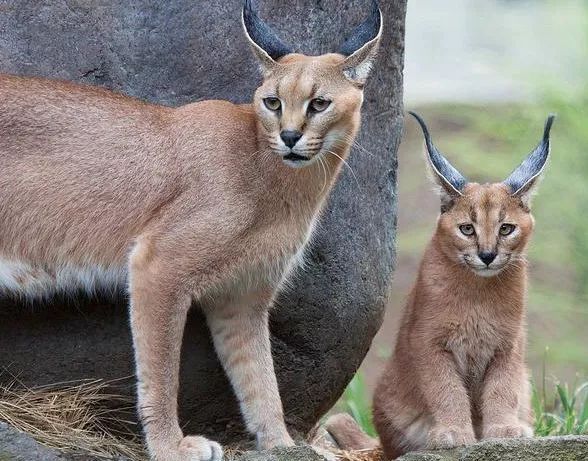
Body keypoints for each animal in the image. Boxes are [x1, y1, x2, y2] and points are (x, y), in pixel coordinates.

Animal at [0, 1, 384, 458]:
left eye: (319, 104)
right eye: (272, 102)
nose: (290, 136)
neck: (279, 177)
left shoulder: (242, 296)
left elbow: (260, 378)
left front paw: (282, 444)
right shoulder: (158, 264)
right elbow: (162, 371)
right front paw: (169, 446)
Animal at [328, 112, 552, 460]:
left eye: (506, 229)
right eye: (467, 229)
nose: (487, 255)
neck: (478, 292)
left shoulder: (508, 346)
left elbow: (502, 388)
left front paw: (503, 430)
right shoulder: (430, 343)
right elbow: (446, 389)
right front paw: (455, 432)